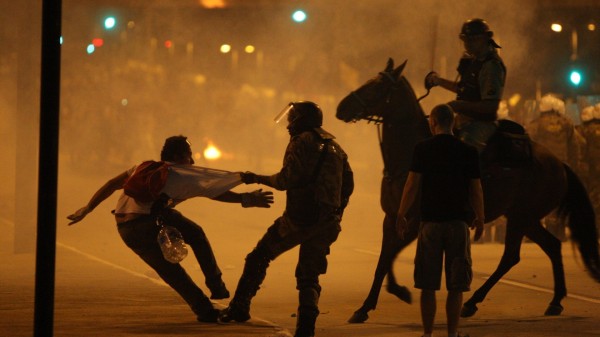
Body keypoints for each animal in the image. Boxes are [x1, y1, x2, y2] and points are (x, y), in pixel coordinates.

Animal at [336, 57, 600, 322]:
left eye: (377, 86)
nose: (341, 108)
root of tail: (559, 163)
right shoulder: (391, 219)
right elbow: (383, 261)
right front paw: (367, 305)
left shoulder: (415, 222)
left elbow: (389, 257)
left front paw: (395, 293)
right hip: (525, 218)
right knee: (552, 246)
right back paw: (555, 301)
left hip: (521, 218)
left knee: (511, 256)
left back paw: (472, 302)